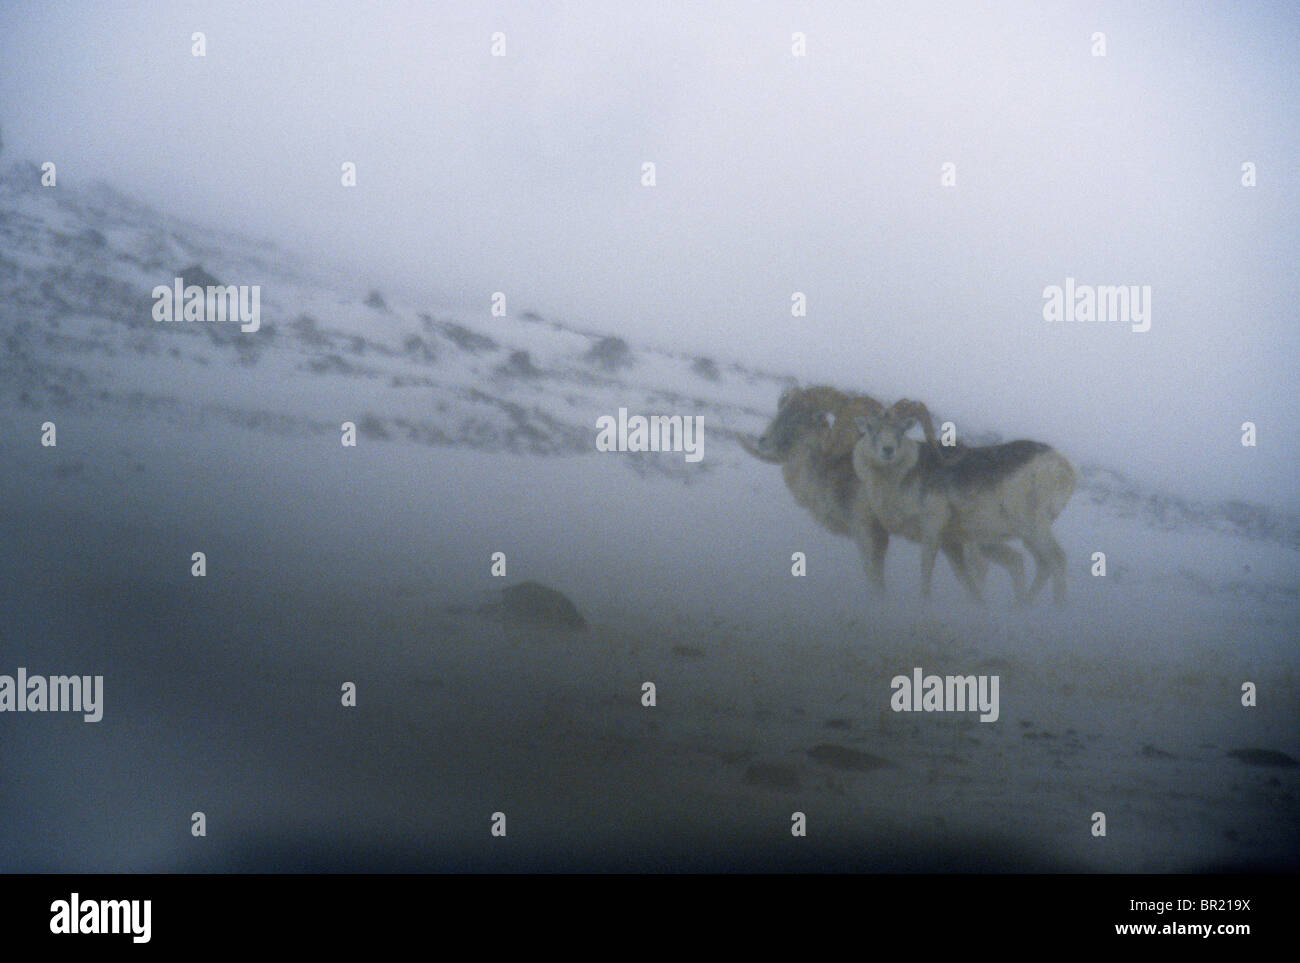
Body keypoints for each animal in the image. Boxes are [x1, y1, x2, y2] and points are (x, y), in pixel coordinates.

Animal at [842, 397, 1076, 600]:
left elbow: (926, 569)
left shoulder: (933, 529)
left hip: (1035, 528)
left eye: (901, 428)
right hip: (1027, 535)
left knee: (1057, 560)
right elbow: (964, 579)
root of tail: (1061, 465)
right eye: (872, 427)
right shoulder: (951, 542)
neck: (901, 478)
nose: (887, 450)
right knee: (1043, 565)